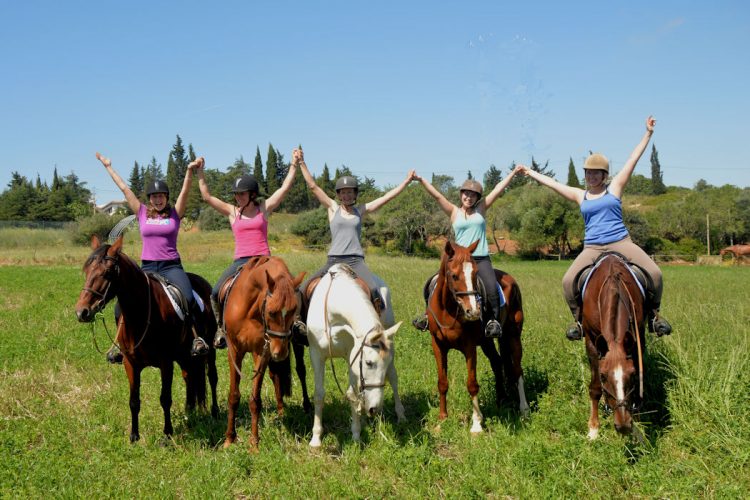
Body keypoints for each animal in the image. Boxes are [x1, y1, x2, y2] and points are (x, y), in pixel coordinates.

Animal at [75, 234, 219, 442]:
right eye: (86, 270)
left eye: (108, 272)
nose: (82, 312)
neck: (141, 315)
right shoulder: (130, 364)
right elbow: (134, 401)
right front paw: (134, 436)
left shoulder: (166, 363)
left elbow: (165, 399)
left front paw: (167, 435)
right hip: (184, 356)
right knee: (189, 378)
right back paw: (189, 412)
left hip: (210, 350)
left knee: (212, 377)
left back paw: (215, 412)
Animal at [219, 256, 306, 452]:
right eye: (272, 312)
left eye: (293, 310)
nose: (280, 352)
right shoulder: (234, 351)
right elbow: (233, 395)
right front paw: (229, 439)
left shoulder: (262, 352)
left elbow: (255, 399)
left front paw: (254, 444)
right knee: (276, 376)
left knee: (291, 373)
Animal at [308, 264, 406, 448]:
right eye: (368, 363)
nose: (375, 409)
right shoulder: (316, 354)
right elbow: (319, 395)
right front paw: (316, 438)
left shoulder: (351, 356)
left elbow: (352, 395)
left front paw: (356, 434)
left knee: (394, 378)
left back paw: (401, 415)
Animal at [426, 240, 532, 432]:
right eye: (454, 276)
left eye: (475, 274)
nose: (473, 311)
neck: (448, 310)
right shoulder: (438, 345)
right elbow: (442, 382)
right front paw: (442, 418)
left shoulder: (469, 347)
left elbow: (472, 384)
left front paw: (476, 424)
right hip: (487, 341)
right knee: (497, 362)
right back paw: (501, 400)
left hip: (513, 336)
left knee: (517, 370)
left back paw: (524, 409)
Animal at [580, 254, 648, 438]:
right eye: (603, 376)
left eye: (632, 375)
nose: (623, 425)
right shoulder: (592, 343)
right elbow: (595, 388)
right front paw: (593, 429)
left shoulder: (637, 339)